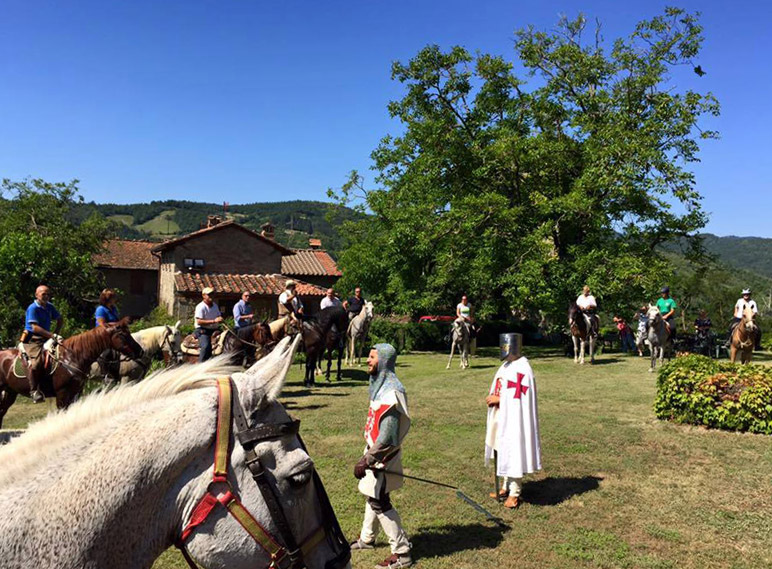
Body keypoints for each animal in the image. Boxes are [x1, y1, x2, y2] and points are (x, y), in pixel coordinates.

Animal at [0, 320, 143, 426]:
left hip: (9, 393)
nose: (140, 351)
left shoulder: (75, 393)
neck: (72, 357)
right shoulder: (62, 393)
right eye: (123, 335)